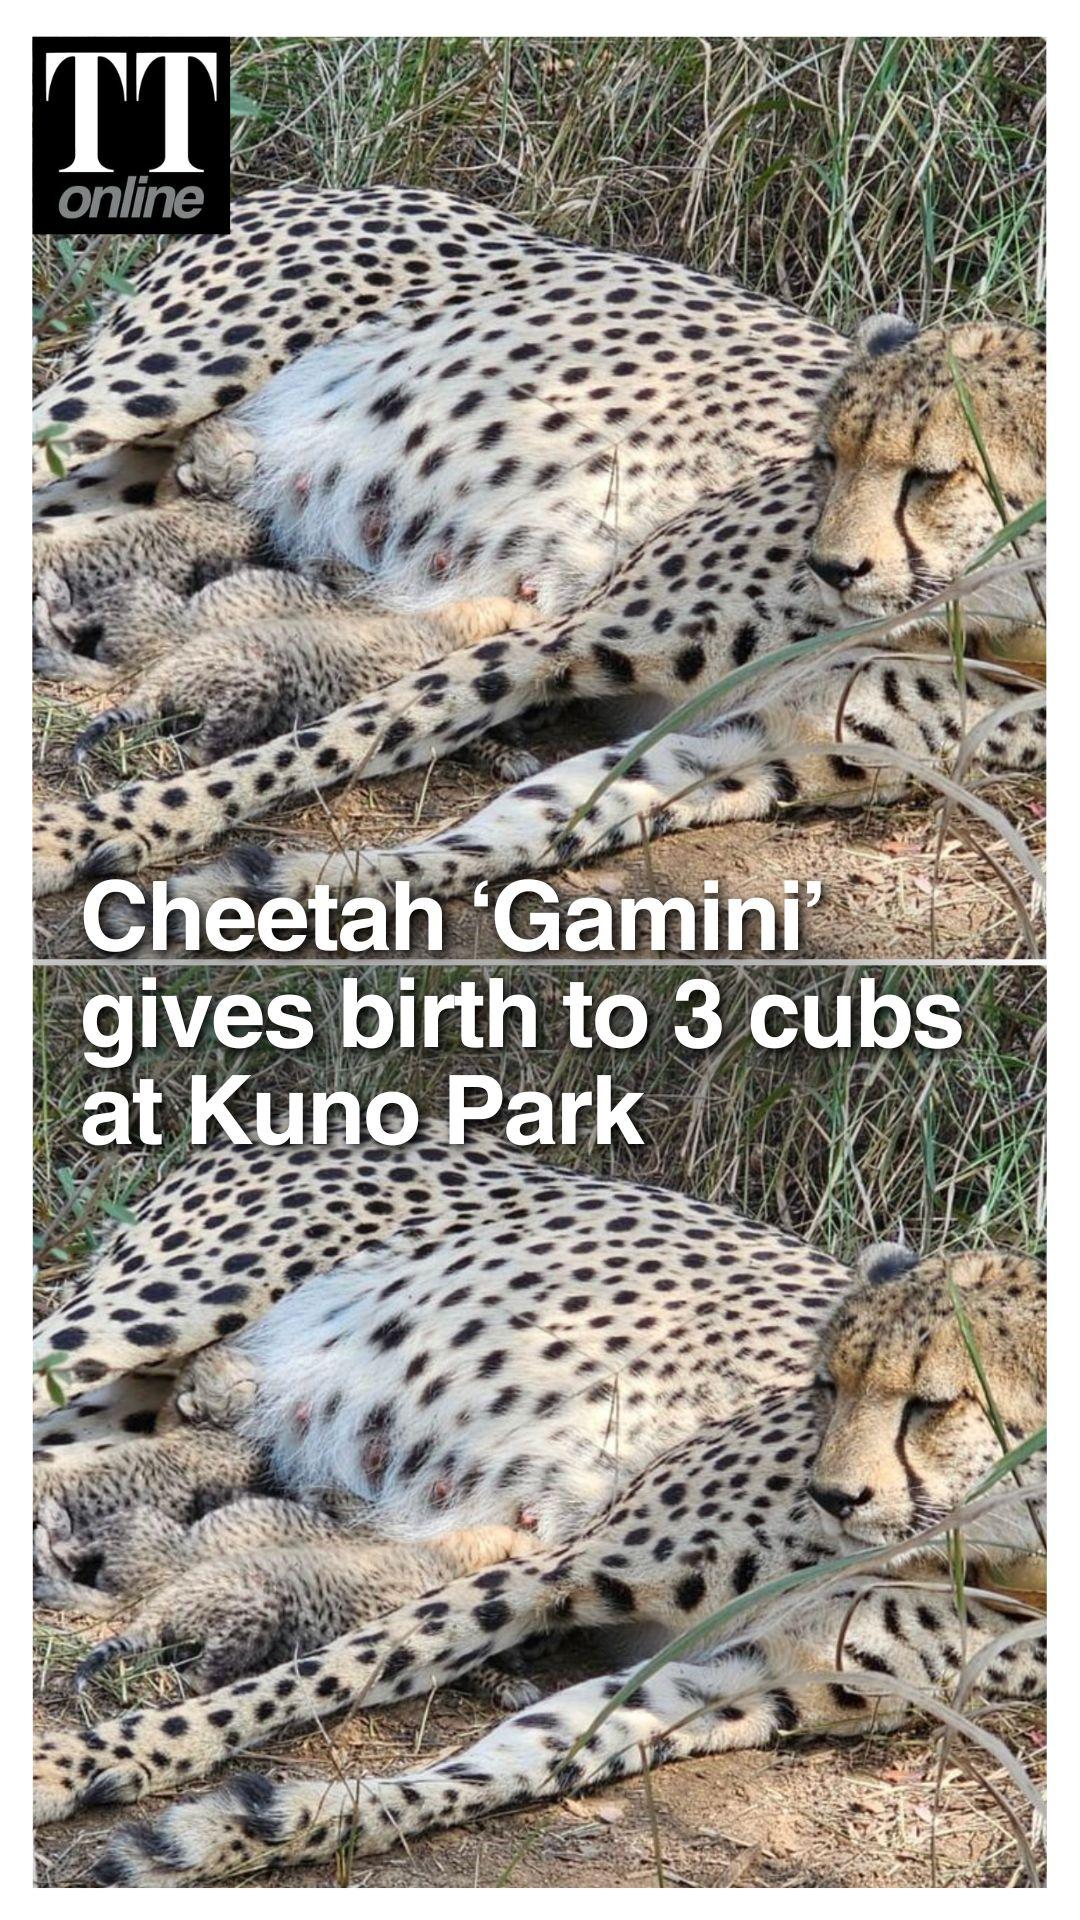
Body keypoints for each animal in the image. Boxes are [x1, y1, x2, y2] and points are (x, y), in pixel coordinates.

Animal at [30, 185, 1045, 918]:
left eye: (933, 475)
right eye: (827, 455)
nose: (834, 568)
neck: (993, 621)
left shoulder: (752, 750)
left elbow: (512, 837)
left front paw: (270, 884)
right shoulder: (557, 639)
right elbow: (320, 746)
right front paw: (81, 832)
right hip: (143, 388)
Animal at [30, 1135, 1045, 1884]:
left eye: (933, 1402)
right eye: (827, 1384)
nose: (832, 1495)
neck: (997, 1547)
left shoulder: (755, 1678)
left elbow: (516, 1763)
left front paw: (257, 1828)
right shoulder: (560, 1567)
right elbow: (321, 1675)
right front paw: (74, 1763)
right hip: (138, 1320)